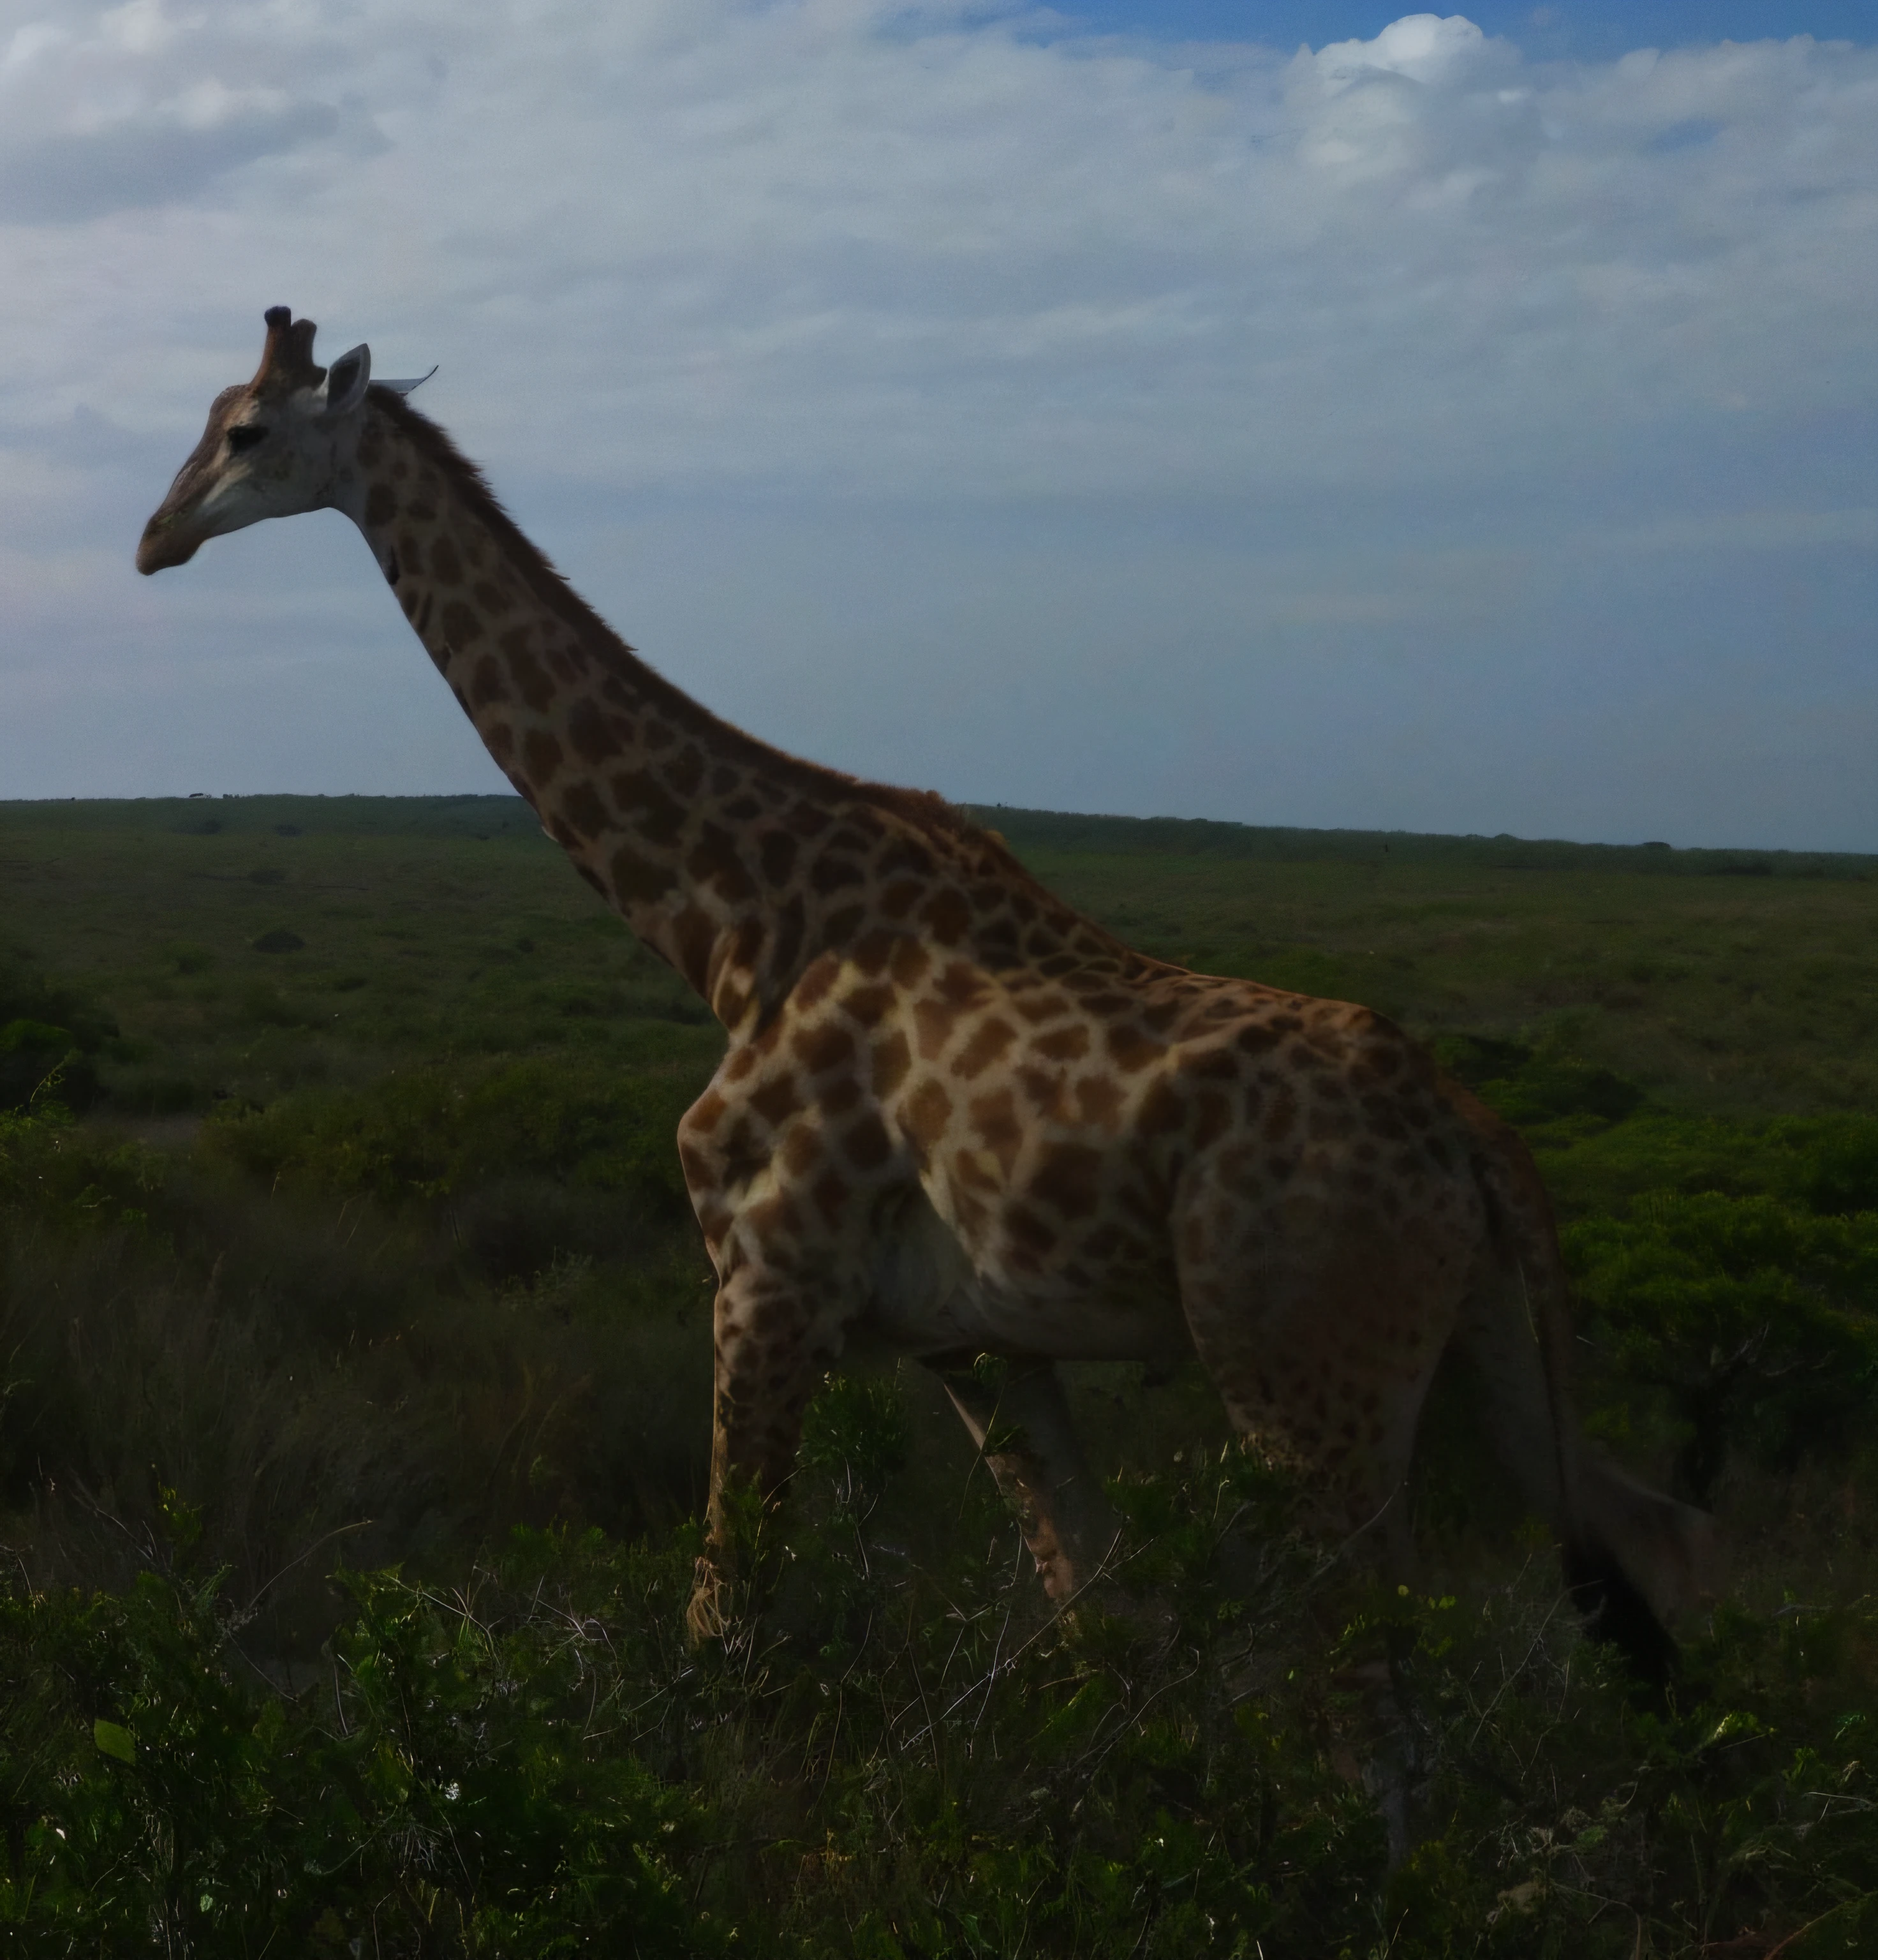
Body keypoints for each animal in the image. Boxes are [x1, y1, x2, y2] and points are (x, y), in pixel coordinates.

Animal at [136, 306, 1717, 1670]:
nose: (153, 539)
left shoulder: (766, 1281)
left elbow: (726, 1621)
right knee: (1652, 1539)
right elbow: (1094, 1597)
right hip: (1478, 1354)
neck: (735, 926)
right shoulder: (972, 1336)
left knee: (1381, 1658)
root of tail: (1469, 1131)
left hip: (1300, 1370)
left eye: (249, 431)